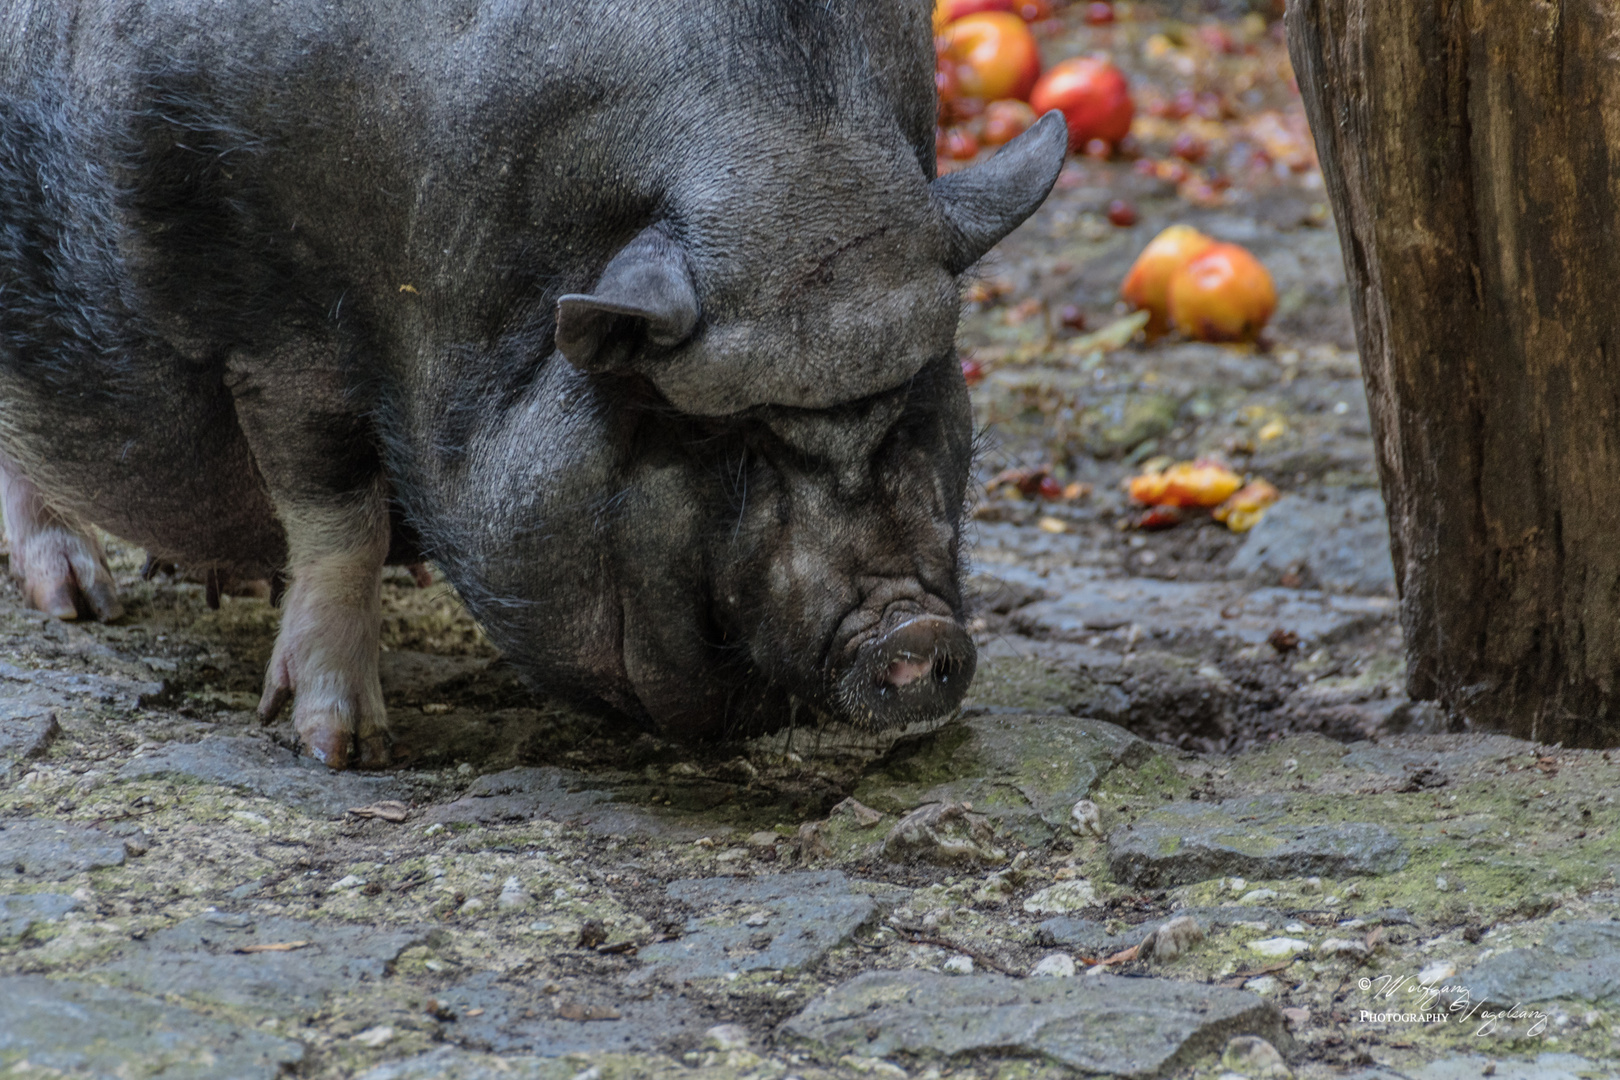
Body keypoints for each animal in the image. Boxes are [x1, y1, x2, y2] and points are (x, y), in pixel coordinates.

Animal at [3, 0, 1075, 767]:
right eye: (728, 435)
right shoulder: (270, 330)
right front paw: (339, 750)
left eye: (916, 395)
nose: (918, 632)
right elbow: (338, 520)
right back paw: (83, 605)